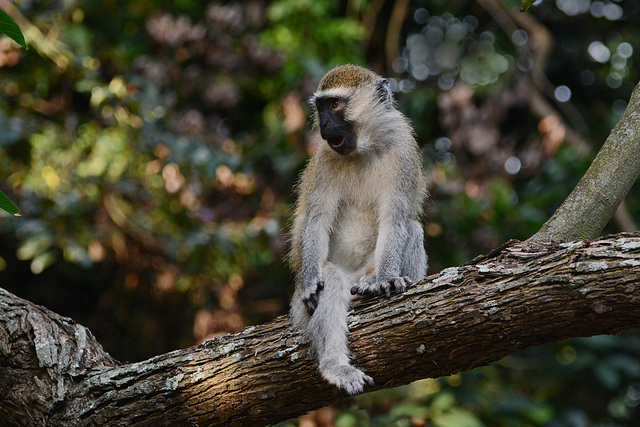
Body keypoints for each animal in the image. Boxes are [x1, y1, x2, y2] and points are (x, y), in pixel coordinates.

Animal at [290, 63, 430, 394]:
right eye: (321, 107)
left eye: (335, 105)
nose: (325, 125)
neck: (363, 149)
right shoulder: (324, 159)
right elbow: (316, 221)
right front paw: (311, 279)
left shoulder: (402, 150)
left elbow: (396, 220)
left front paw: (387, 278)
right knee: (332, 281)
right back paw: (335, 365)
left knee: (412, 229)